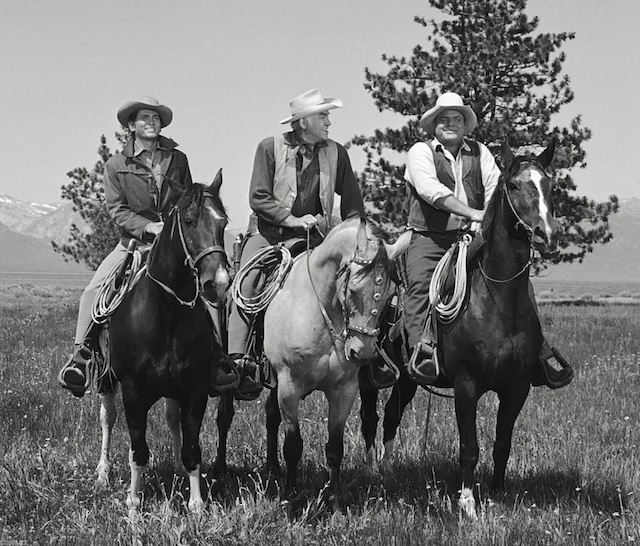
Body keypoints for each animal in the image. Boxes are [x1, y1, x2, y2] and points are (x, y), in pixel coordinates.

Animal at [96, 171, 231, 516]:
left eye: (223, 223)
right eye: (188, 220)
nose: (219, 283)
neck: (165, 316)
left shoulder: (195, 390)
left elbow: (192, 446)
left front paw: (196, 504)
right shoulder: (133, 392)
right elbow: (138, 450)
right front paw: (134, 504)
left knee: (172, 421)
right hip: (106, 378)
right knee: (107, 417)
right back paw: (102, 472)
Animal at [212, 217, 398, 498]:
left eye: (388, 295)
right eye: (354, 290)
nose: (362, 352)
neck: (319, 308)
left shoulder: (344, 390)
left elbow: (334, 448)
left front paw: (333, 497)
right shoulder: (290, 386)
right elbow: (293, 445)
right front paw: (290, 495)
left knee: (271, 417)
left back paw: (273, 467)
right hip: (230, 375)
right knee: (224, 417)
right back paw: (221, 468)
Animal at [360, 139, 560, 516]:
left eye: (549, 185)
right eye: (514, 186)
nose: (547, 235)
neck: (499, 303)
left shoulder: (517, 388)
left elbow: (501, 443)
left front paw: (497, 494)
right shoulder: (467, 386)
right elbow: (469, 447)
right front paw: (467, 503)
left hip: (408, 379)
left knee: (391, 416)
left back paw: (388, 469)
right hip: (368, 374)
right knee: (370, 418)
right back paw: (371, 470)